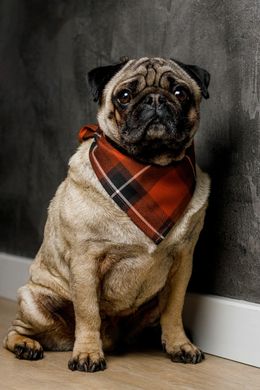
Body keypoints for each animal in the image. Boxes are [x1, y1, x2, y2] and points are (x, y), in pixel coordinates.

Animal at [3, 57, 210, 372]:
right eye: (124, 96)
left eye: (179, 93)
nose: (155, 99)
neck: (150, 167)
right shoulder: (85, 261)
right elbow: (88, 312)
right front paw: (88, 353)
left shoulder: (182, 262)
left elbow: (174, 310)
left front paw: (179, 345)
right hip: (34, 301)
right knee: (15, 331)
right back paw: (26, 345)